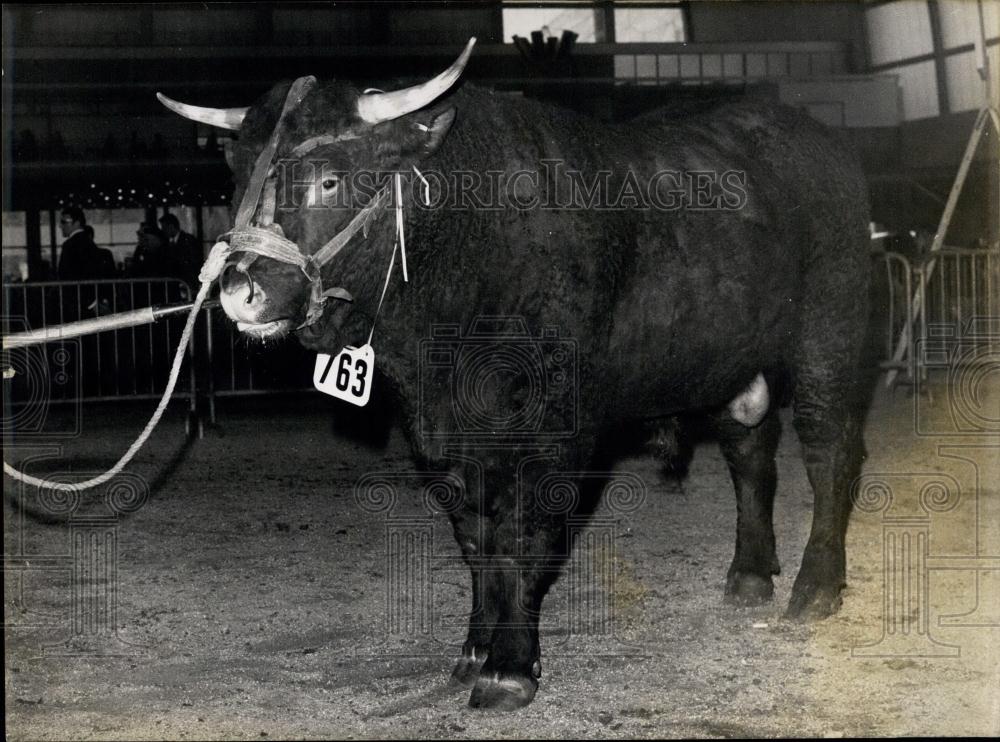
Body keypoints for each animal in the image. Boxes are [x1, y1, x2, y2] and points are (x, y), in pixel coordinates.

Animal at [160, 37, 872, 712]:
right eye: (236, 179)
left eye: (329, 180)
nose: (239, 292)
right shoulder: (441, 427)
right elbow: (477, 534)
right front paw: (476, 646)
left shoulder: (553, 420)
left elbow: (523, 529)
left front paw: (509, 666)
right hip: (733, 355)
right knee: (750, 449)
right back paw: (750, 574)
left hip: (831, 329)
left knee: (829, 449)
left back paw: (816, 585)